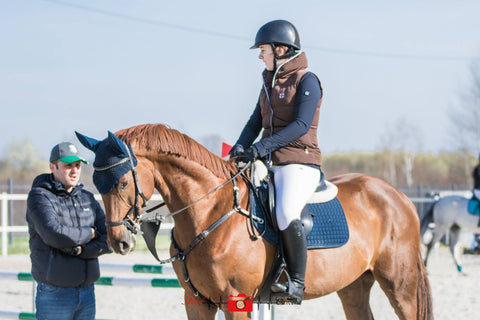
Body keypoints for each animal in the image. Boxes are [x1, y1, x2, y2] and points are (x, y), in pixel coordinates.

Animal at [77, 124, 434, 320]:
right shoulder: (197, 302)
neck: (209, 213)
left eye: (123, 182)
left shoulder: (236, 302)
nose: (120, 242)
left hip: (400, 285)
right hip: (353, 286)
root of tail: (399, 197)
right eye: (96, 182)